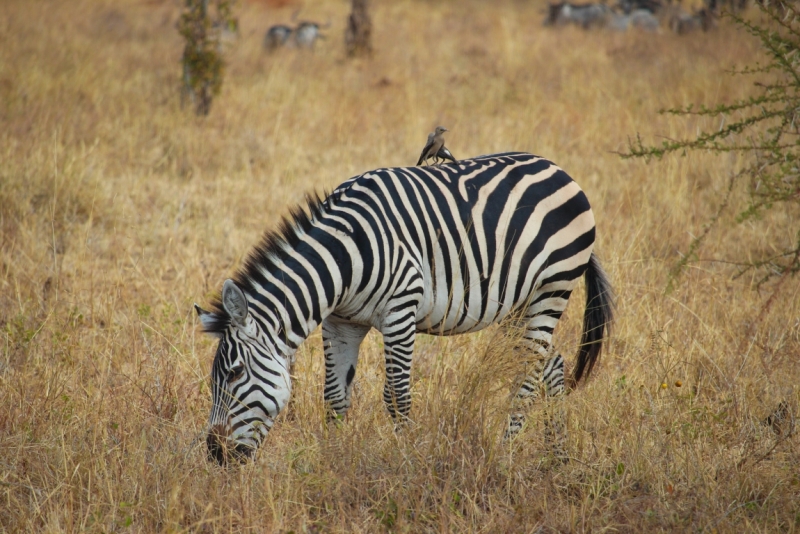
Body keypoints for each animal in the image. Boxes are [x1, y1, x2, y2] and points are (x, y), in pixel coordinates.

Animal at [194, 151, 612, 464]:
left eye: (233, 373)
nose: (215, 454)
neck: (343, 259)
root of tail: (557, 168)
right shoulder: (340, 323)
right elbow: (334, 399)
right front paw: (332, 462)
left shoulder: (400, 312)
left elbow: (397, 398)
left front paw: (407, 463)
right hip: (518, 302)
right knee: (549, 364)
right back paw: (556, 457)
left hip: (551, 288)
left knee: (526, 375)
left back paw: (503, 456)